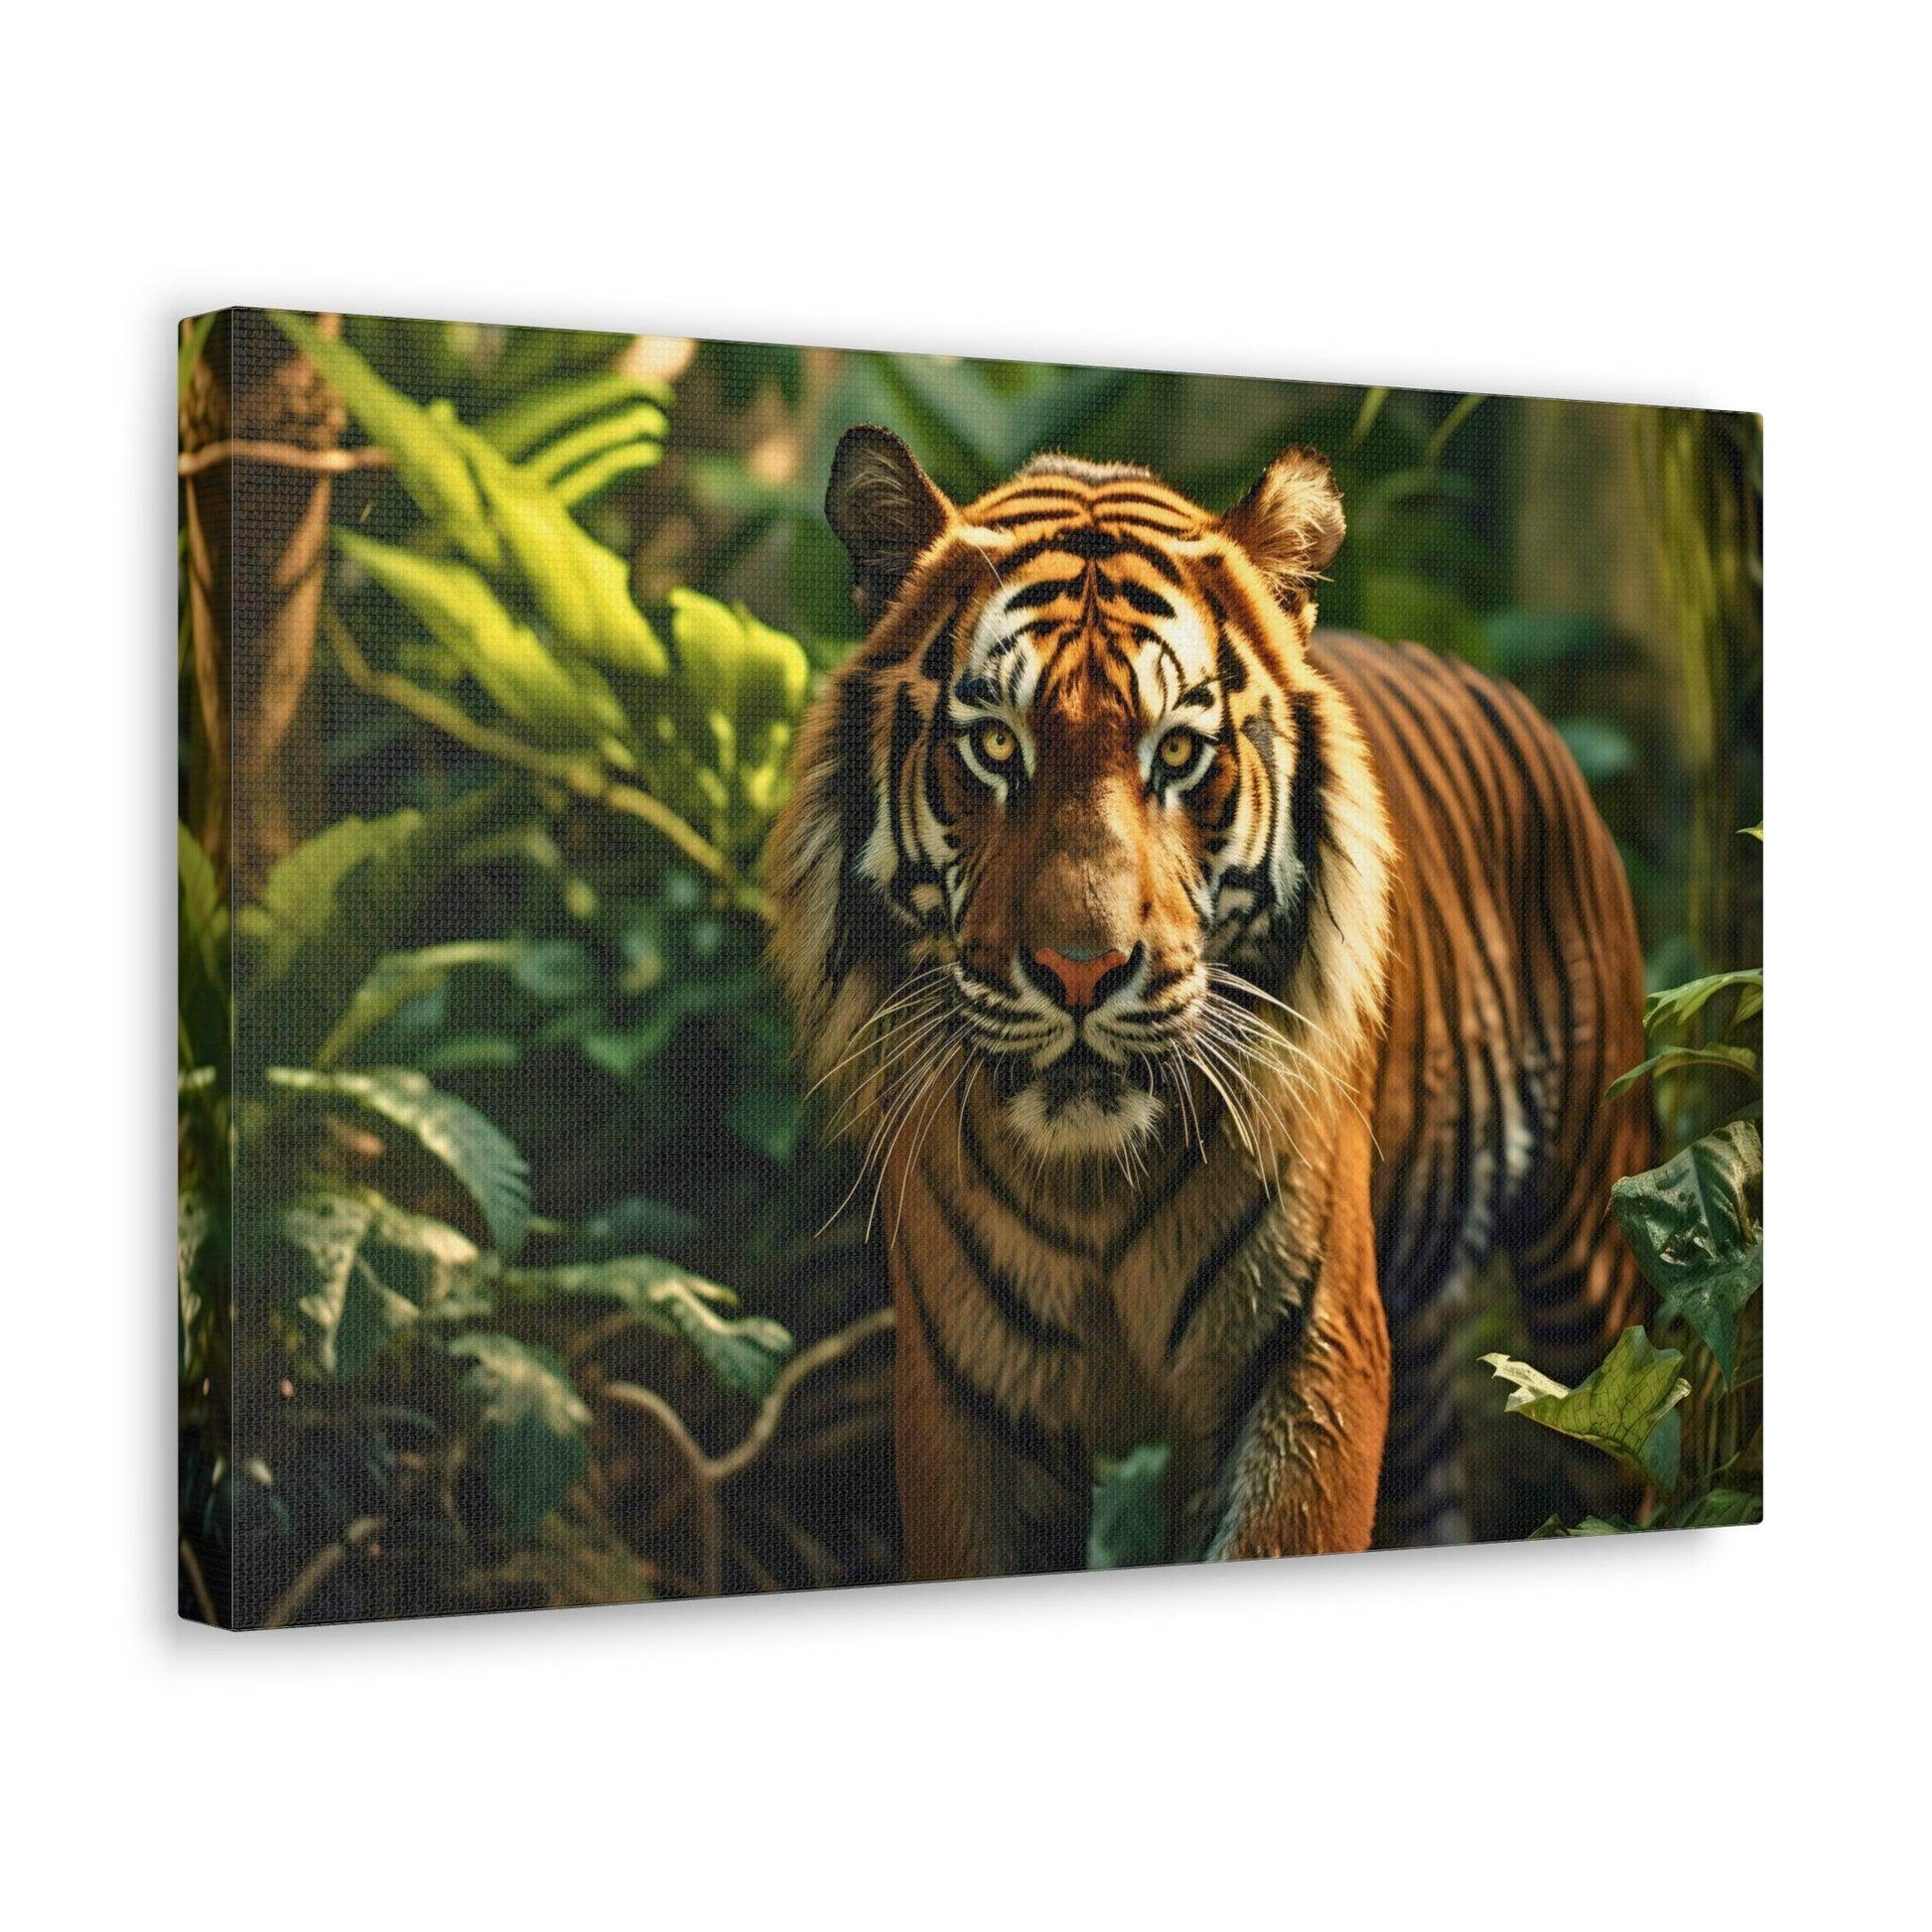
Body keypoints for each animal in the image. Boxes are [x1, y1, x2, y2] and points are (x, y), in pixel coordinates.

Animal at [764, 426, 1652, 1578]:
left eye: (1178, 752)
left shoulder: (1307, 1355)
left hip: (1591, 1247)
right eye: (995, 745)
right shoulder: (967, 1395)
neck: (1091, 1188)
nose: (1081, 971)